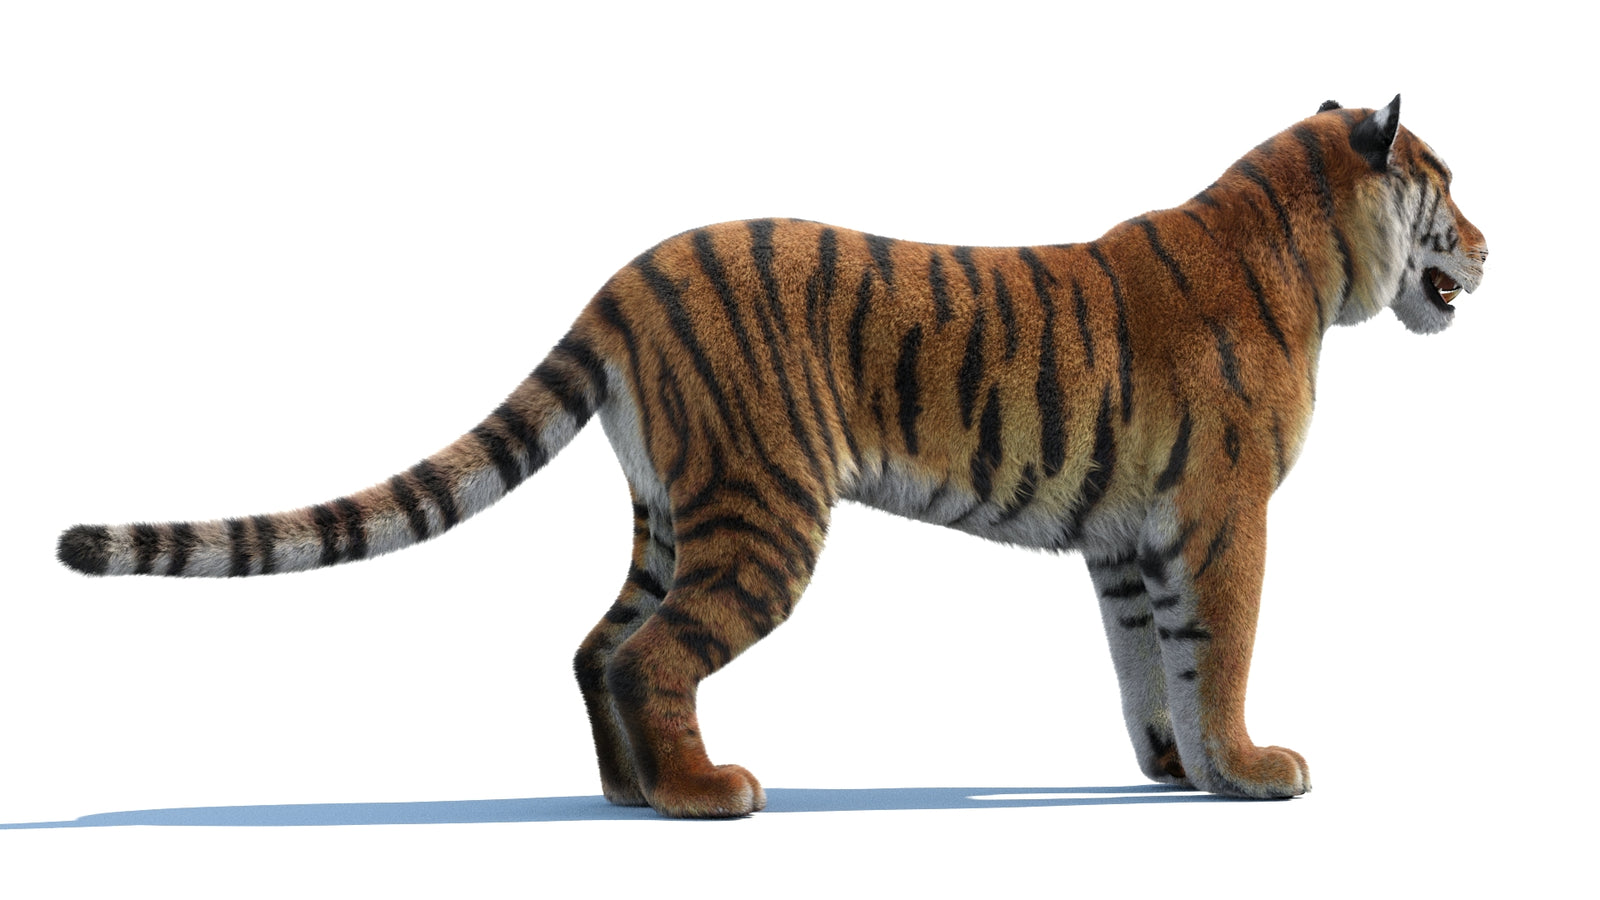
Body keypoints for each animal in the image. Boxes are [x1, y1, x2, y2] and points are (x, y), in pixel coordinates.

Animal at [57, 95, 1486, 817]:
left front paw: (1176, 771)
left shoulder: (1130, 540)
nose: (1488, 244)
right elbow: (1220, 649)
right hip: (765, 512)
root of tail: (627, 278)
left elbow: (1153, 665)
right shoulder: (1222, 514)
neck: (1314, 257)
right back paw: (703, 793)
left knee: (596, 645)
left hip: (675, 509)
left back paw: (630, 794)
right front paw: (1249, 772)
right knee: (648, 654)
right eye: (1445, 180)